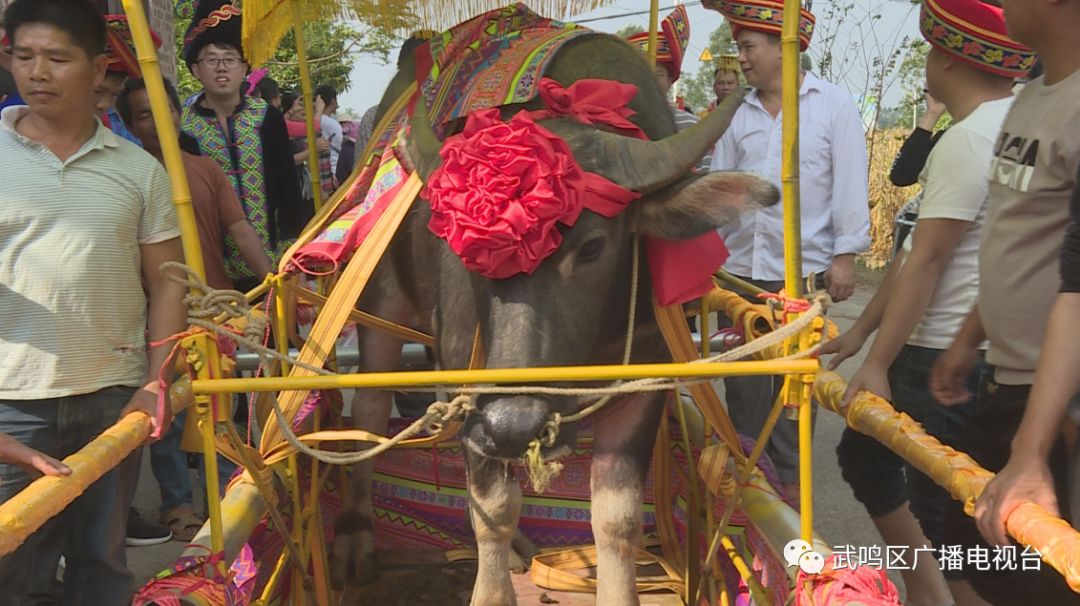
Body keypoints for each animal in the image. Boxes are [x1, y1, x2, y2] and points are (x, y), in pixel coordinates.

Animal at [328, 27, 777, 604]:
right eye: (466, 246)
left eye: (592, 247)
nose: (514, 424)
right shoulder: (471, 383)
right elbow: (491, 508)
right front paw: (492, 587)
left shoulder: (644, 379)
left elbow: (617, 517)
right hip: (378, 298)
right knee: (368, 409)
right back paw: (355, 540)